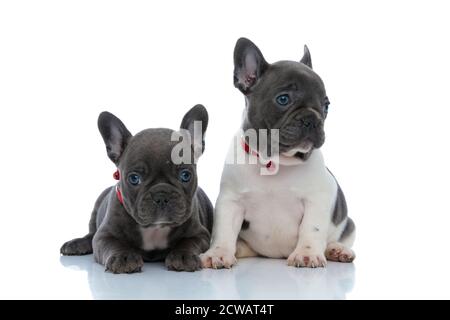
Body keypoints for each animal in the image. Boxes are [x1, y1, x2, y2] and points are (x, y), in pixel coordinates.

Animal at [60, 105, 214, 272]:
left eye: (185, 175)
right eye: (134, 178)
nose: (161, 195)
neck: (155, 229)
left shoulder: (200, 234)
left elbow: (188, 242)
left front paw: (183, 255)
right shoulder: (104, 236)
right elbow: (114, 244)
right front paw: (124, 257)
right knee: (90, 234)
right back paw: (77, 243)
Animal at [200, 37, 356, 268]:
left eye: (326, 106)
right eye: (283, 99)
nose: (312, 119)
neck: (274, 161)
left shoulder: (317, 199)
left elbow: (312, 228)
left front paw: (307, 253)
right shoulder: (230, 201)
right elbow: (224, 230)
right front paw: (218, 253)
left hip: (348, 224)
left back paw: (337, 250)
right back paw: (238, 248)